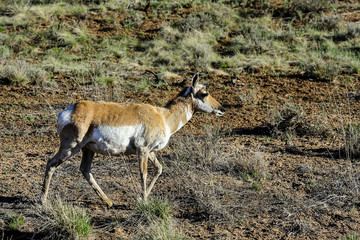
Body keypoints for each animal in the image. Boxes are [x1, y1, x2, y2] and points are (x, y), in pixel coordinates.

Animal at [41, 72, 222, 207]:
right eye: (204, 93)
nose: (222, 108)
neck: (162, 116)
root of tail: (71, 110)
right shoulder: (142, 151)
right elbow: (143, 173)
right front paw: (144, 201)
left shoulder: (149, 151)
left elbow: (159, 168)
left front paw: (143, 197)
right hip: (71, 148)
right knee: (51, 163)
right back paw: (43, 201)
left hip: (87, 150)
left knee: (85, 170)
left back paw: (108, 201)